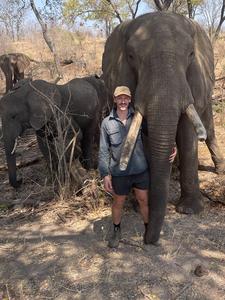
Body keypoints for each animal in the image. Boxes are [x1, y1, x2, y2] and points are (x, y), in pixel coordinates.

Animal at [102, 12, 225, 246]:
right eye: (131, 56)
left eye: (191, 54)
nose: (147, 238)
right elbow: (147, 138)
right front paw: (142, 202)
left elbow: (187, 134)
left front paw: (189, 210)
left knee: (209, 128)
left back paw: (220, 170)